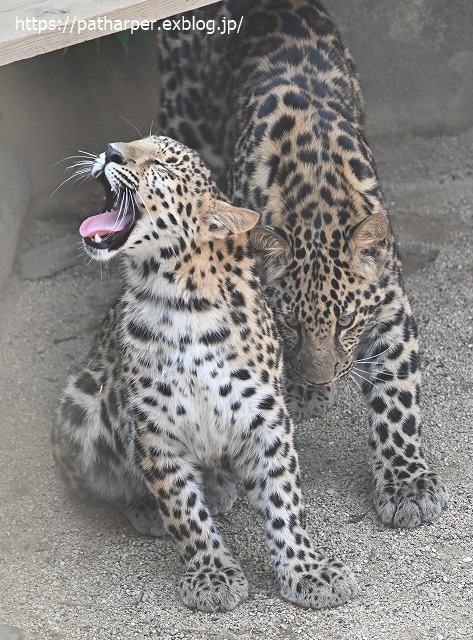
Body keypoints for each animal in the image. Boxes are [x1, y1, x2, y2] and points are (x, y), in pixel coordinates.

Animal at [157, 0, 448, 524]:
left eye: (347, 321)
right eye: (288, 322)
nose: (321, 376)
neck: (315, 199)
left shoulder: (390, 302)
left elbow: (396, 394)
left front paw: (407, 485)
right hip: (182, 112)